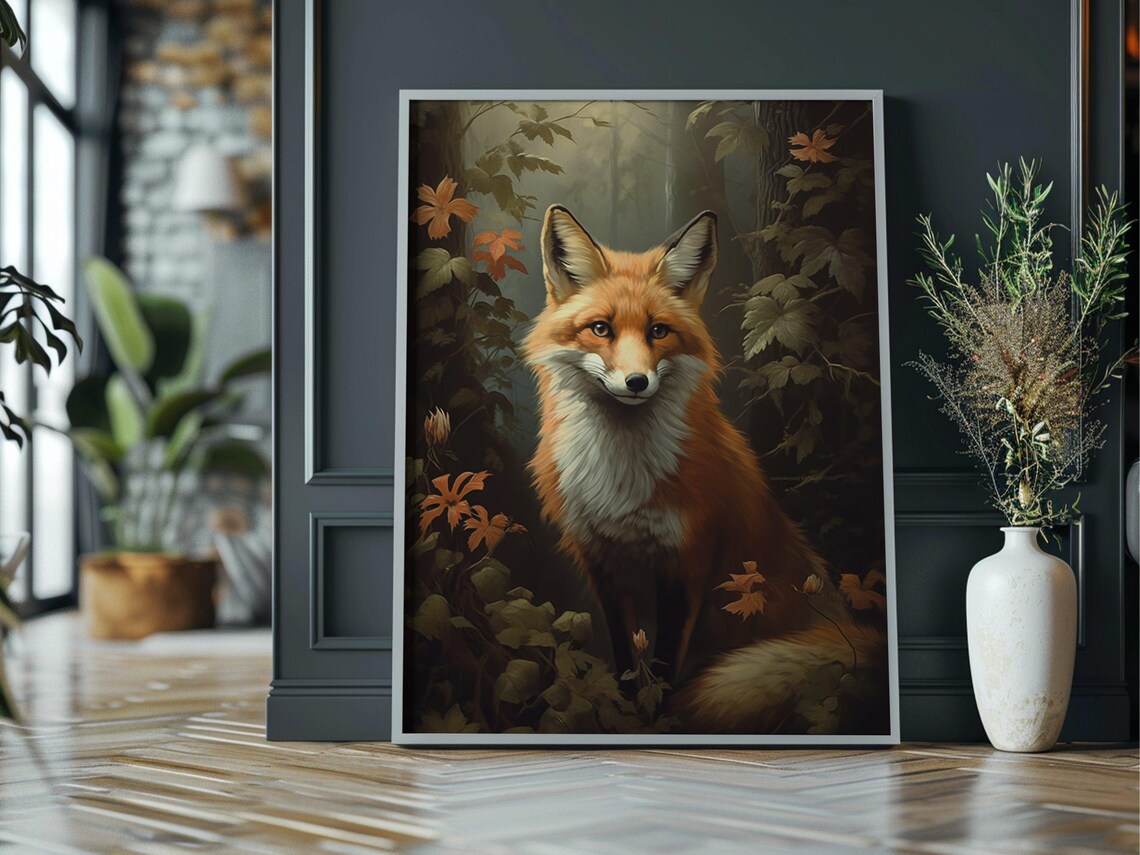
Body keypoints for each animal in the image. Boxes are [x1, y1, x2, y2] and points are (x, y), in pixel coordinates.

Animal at [522, 205, 884, 733]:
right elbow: (629, 662)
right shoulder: (602, 562)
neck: (623, 482)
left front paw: (657, 722)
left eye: (658, 331)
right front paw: (628, 716)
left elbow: (664, 669)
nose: (636, 382)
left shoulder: (688, 561)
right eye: (601, 329)